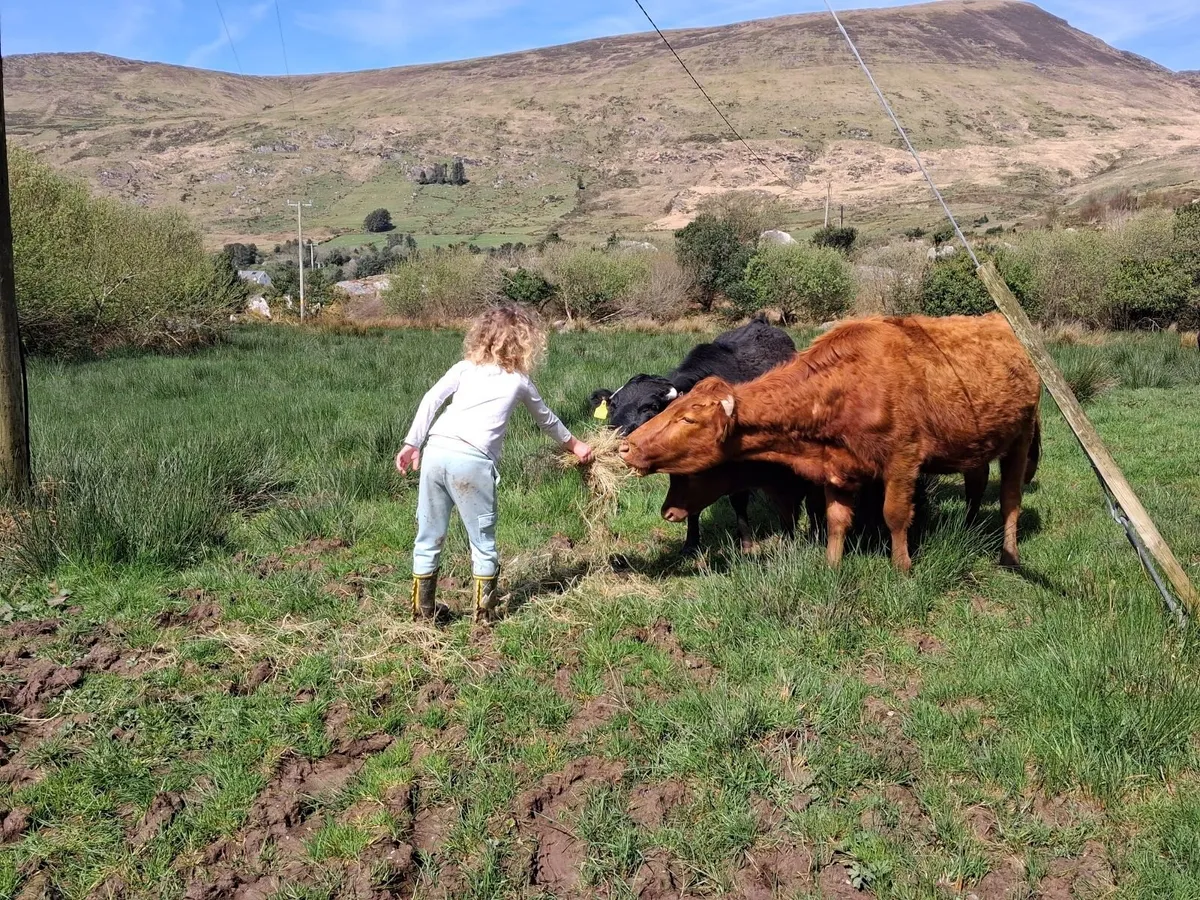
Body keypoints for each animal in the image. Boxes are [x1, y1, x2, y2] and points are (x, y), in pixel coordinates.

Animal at [590, 316, 810, 554]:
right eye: (612, 405)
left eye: (651, 406)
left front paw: (746, 543)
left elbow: (738, 500)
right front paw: (691, 543)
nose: (615, 437)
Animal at [618, 313, 1042, 572]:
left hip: (1020, 440)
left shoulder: (902, 463)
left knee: (1010, 498)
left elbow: (894, 516)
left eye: (688, 418)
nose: (625, 445)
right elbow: (836, 520)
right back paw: (969, 528)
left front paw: (902, 567)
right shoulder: (837, 469)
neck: (847, 384)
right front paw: (832, 565)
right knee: (976, 486)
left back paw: (1009, 555)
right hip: (977, 446)